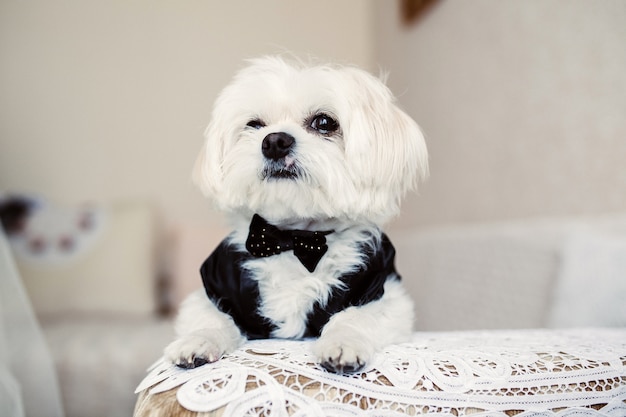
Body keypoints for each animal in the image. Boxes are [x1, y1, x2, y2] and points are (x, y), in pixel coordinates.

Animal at [165, 56, 428, 374]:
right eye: (254, 125)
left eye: (324, 122)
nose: (274, 141)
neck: (293, 237)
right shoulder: (216, 283)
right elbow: (211, 317)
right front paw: (199, 340)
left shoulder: (381, 288)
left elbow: (356, 317)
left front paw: (343, 343)